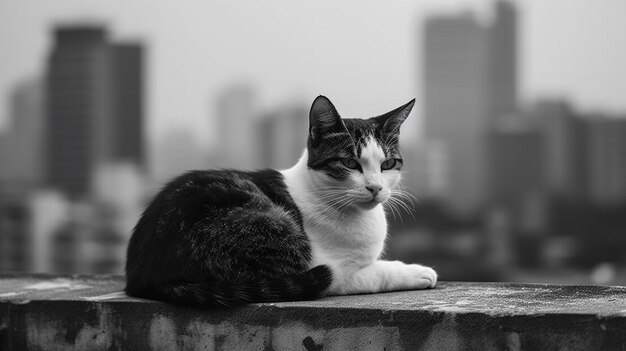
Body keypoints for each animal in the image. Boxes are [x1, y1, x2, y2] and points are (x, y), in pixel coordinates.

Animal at [124, 95, 436, 306]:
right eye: (350, 163)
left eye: (388, 164)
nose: (375, 188)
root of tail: (144, 276)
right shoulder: (333, 269)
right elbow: (374, 273)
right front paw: (419, 271)